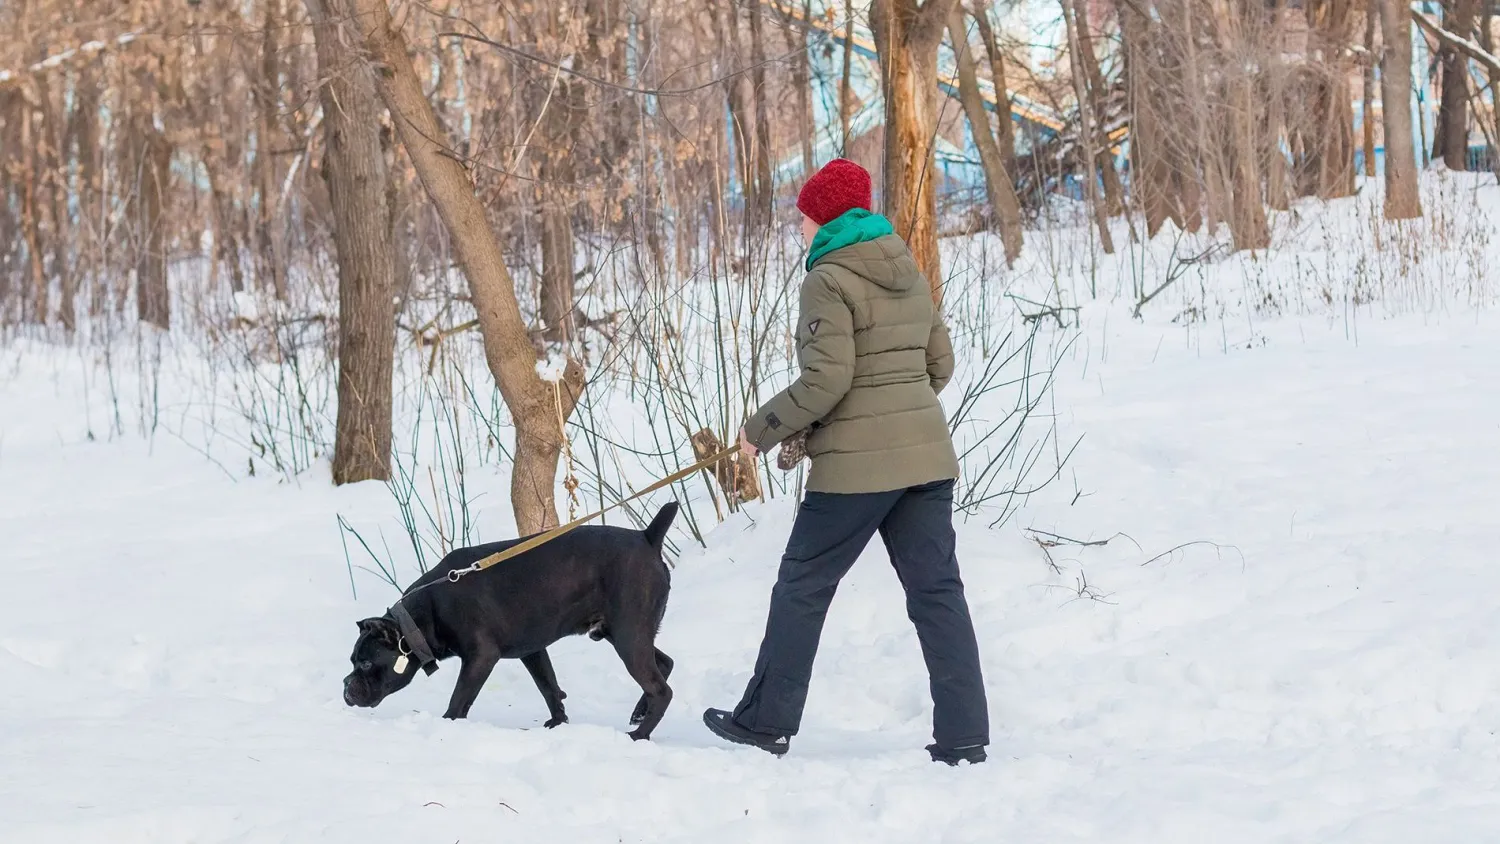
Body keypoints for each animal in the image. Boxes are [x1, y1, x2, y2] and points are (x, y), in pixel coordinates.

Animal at [343, 500, 678, 740]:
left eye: (366, 664)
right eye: (352, 661)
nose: (346, 685)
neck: (419, 619)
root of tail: (647, 537)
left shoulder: (480, 657)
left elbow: (460, 697)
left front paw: (448, 724)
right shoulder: (533, 651)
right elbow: (549, 687)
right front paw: (558, 722)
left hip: (628, 637)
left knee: (662, 689)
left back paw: (639, 734)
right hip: (621, 633)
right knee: (665, 663)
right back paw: (639, 712)